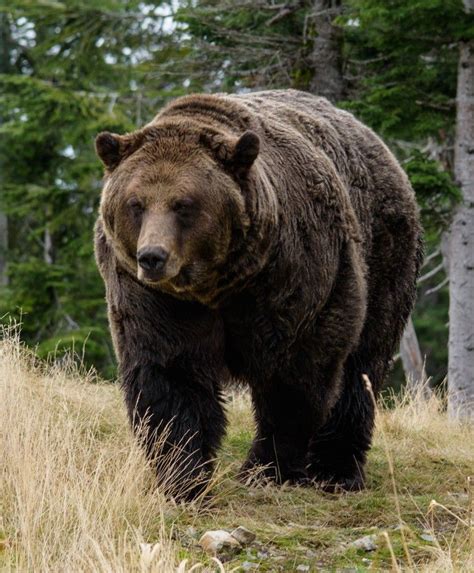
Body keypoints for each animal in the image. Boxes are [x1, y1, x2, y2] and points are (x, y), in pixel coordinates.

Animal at [93, 88, 422, 496]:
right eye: (135, 203)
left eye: (184, 204)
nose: (153, 257)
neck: (219, 285)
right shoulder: (155, 299)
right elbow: (171, 374)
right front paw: (183, 476)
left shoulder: (293, 277)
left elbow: (294, 376)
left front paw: (267, 468)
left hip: (384, 254)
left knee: (361, 364)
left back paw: (336, 470)